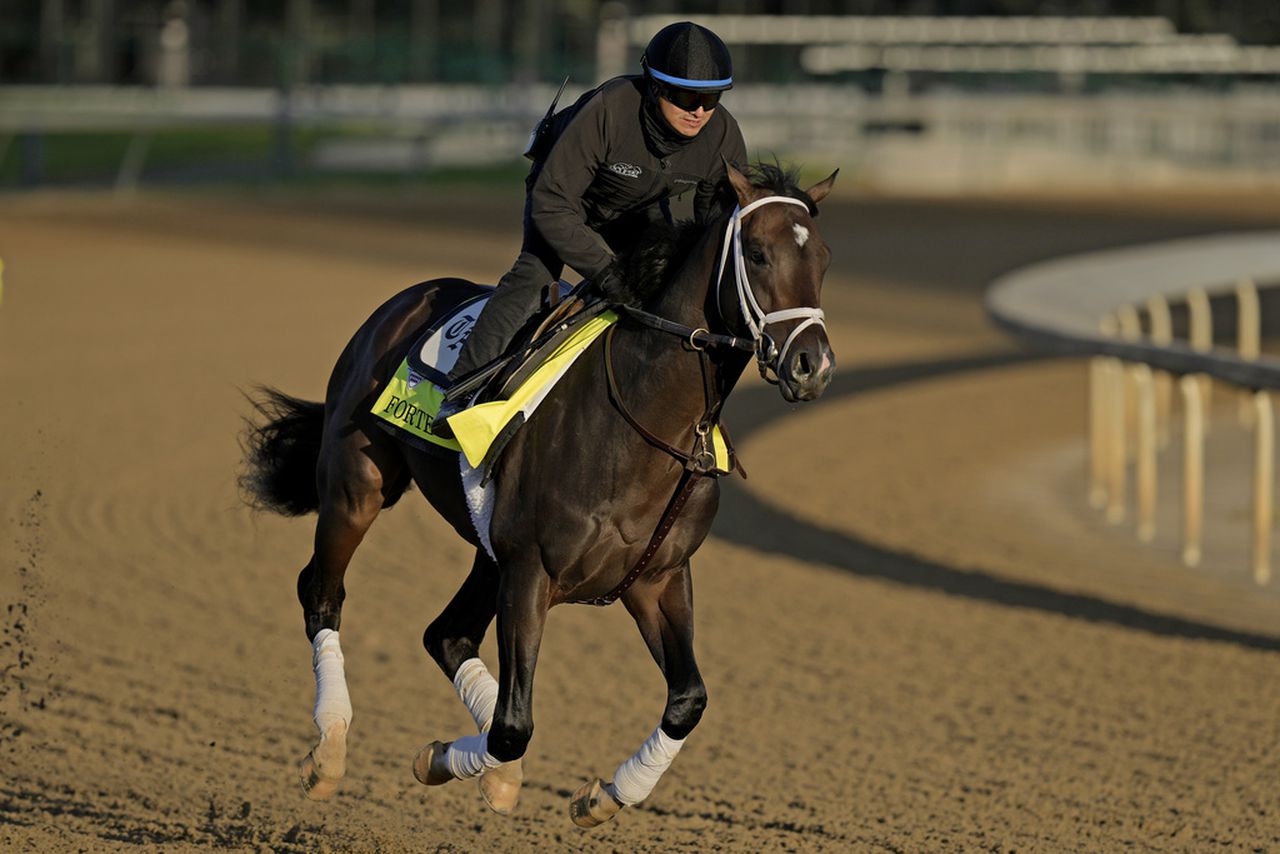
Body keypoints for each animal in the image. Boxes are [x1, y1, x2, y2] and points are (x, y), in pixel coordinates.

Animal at [240, 161, 839, 829]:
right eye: (757, 253)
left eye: (824, 257)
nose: (812, 365)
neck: (640, 420)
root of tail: (401, 302)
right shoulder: (531, 571)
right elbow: (512, 727)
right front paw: (465, 765)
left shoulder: (657, 577)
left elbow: (687, 699)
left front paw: (603, 795)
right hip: (358, 484)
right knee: (322, 592)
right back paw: (329, 751)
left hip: (488, 549)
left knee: (444, 633)